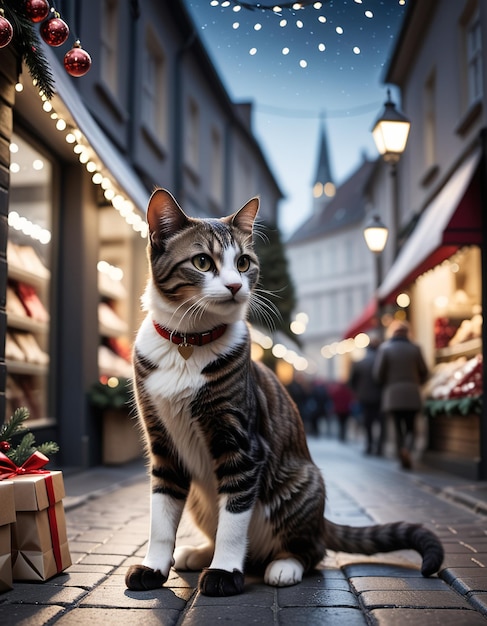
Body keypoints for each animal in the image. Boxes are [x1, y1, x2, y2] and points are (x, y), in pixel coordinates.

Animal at [126, 189, 446, 596]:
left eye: (243, 262)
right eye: (202, 262)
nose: (235, 286)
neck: (188, 341)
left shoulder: (242, 445)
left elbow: (234, 518)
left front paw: (224, 571)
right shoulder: (164, 445)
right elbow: (161, 517)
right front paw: (154, 567)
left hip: (301, 484)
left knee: (311, 550)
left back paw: (282, 565)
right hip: (201, 496)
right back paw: (198, 553)